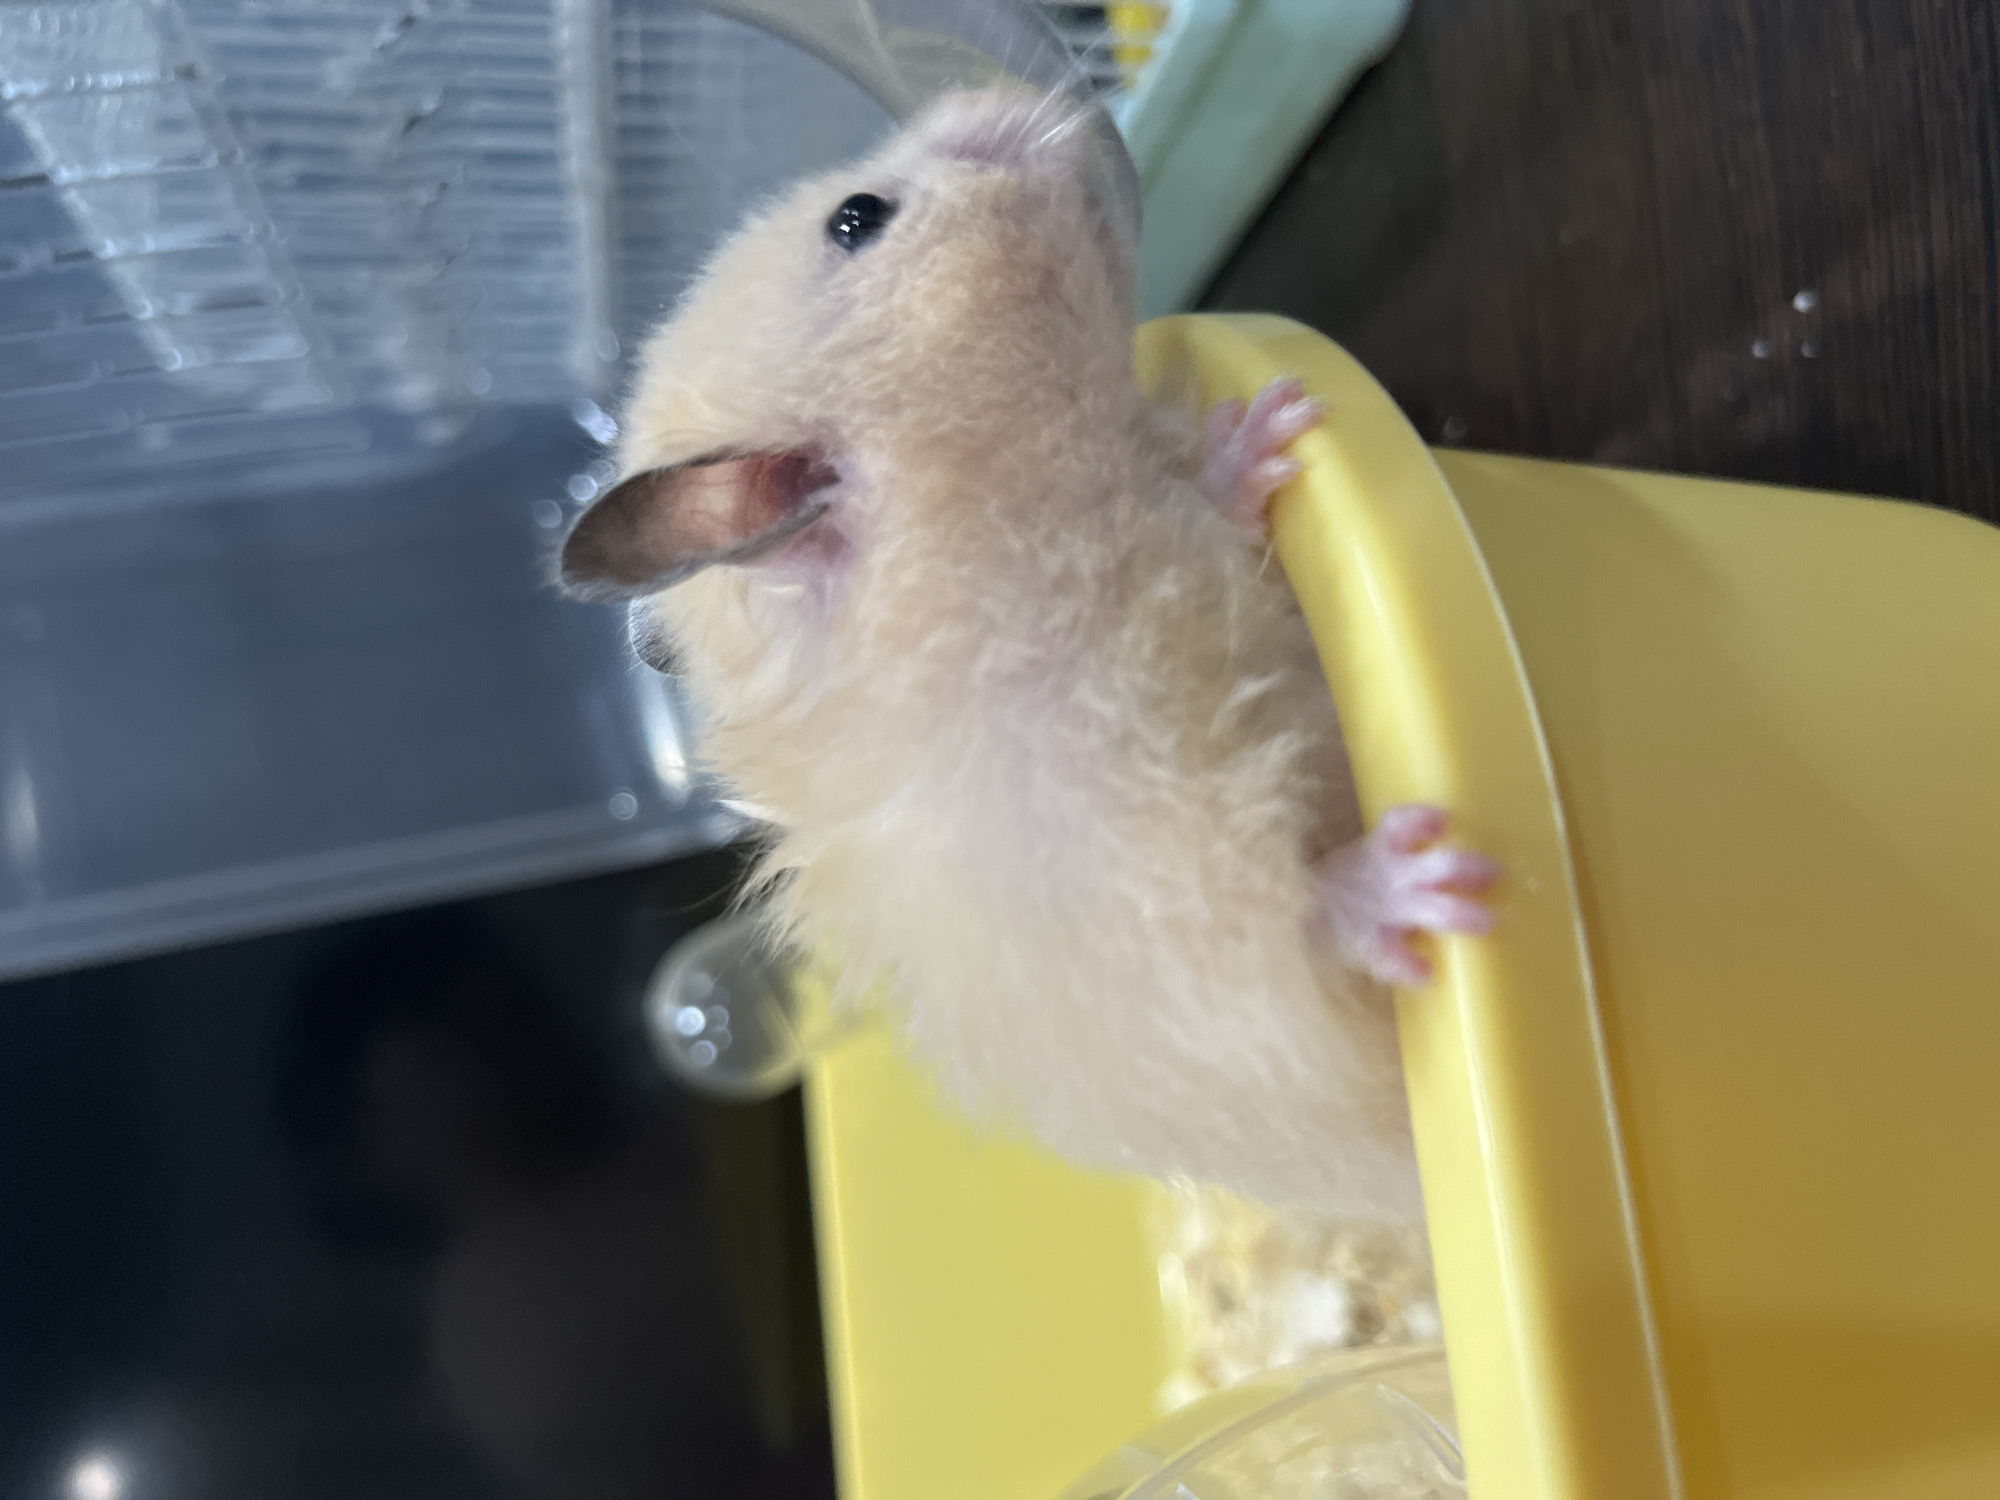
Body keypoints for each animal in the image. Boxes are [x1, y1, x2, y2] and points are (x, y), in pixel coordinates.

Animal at [559, 87, 1497, 1223]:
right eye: (857, 218)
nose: (1007, 95)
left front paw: (1263, 424)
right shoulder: (1144, 900)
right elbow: (1280, 937)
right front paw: (1430, 875)